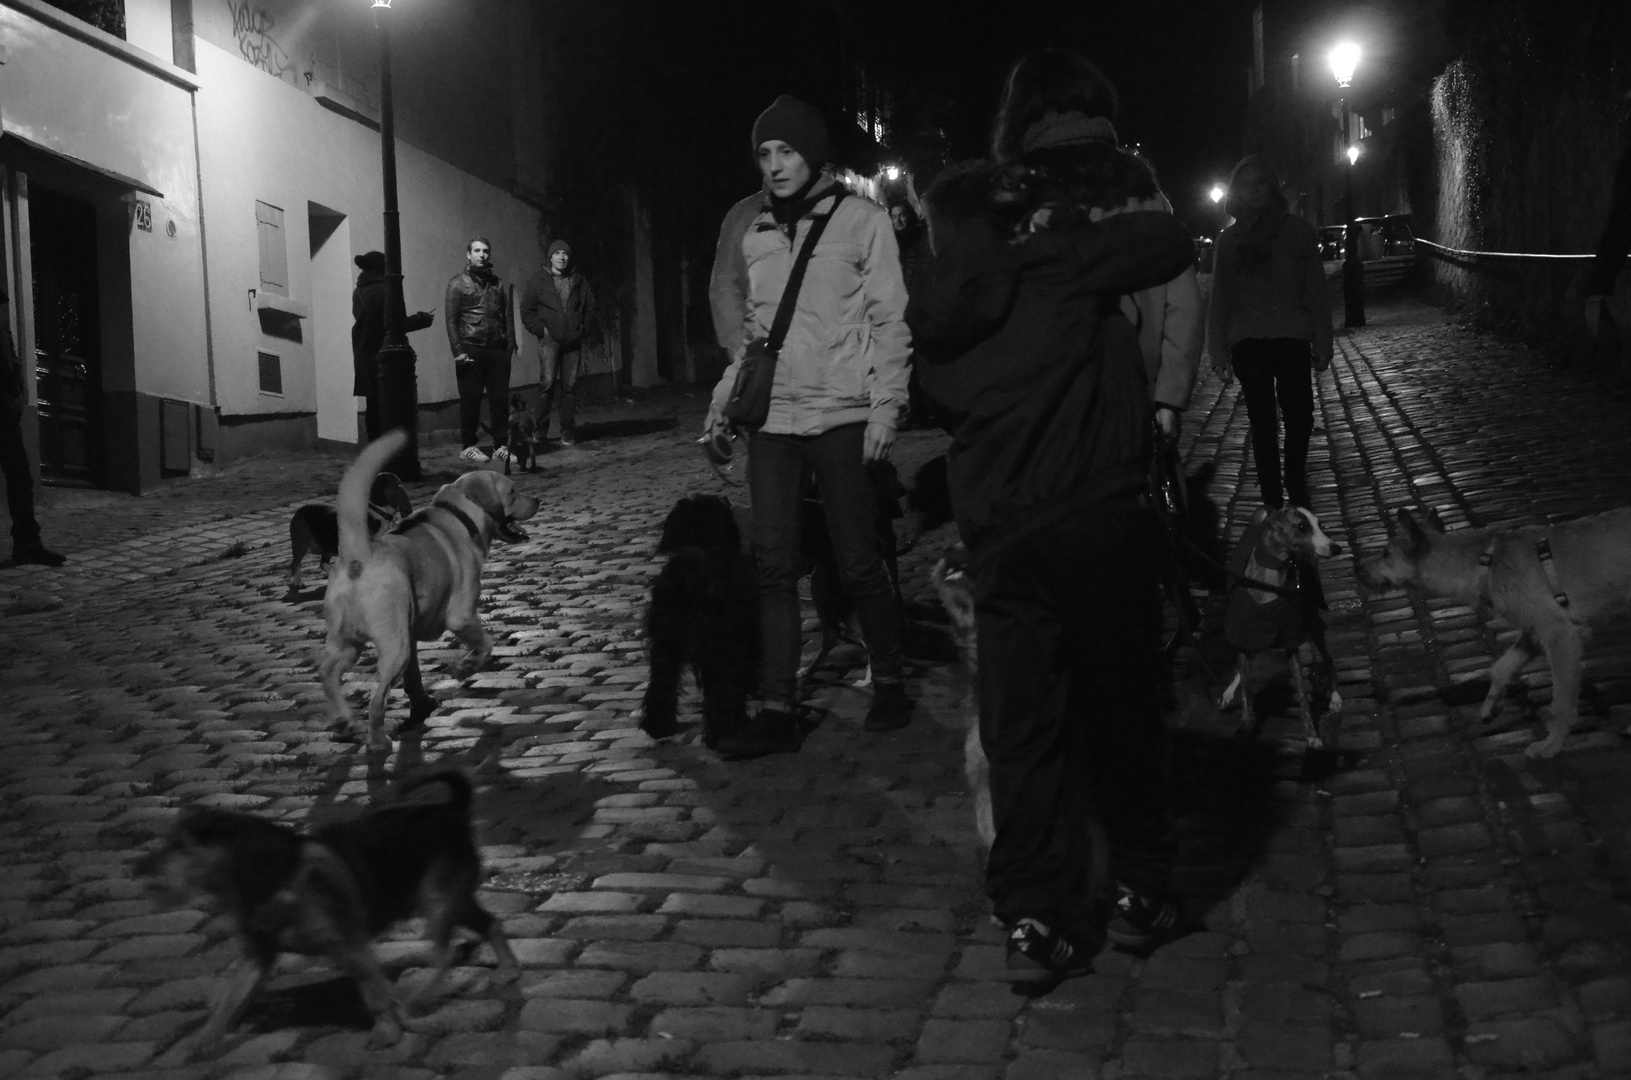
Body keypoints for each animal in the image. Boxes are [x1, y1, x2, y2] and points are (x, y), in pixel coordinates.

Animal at [145, 773, 518, 1063]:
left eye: (180, 847)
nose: (141, 871)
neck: (264, 878)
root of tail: (453, 809)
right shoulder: (258, 954)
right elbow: (231, 999)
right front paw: (203, 1039)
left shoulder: (348, 947)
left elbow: (374, 994)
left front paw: (386, 1031)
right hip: (452, 899)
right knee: (490, 923)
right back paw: (508, 969)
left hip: (435, 902)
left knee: (442, 957)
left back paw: (418, 998)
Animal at [319, 427, 541, 750]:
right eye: (512, 491)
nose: (537, 500)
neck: (458, 515)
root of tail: (360, 556)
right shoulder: (461, 617)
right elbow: (486, 644)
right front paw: (465, 668)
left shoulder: (411, 634)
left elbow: (415, 678)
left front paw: (422, 704)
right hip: (393, 648)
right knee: (376, 700)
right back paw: (377, 740)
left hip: (349, 644)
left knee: (327, 673)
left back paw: (343, 721)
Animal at [639, 495, 760, 750]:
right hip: (718, 645)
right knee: (722, 692)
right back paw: (726, 731)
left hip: (665, 646)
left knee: (661, 686)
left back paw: (658, 726)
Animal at [1219, 505, 1343, 743]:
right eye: (1302, 527)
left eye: (1320, 524)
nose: (1337, 548)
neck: (1268, 585)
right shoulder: (1243, 636)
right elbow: (1247, 694)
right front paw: (1245, 727)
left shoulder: (1291, 642)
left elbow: (1303, 696)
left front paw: (1312, 737)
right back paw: (1229, 691)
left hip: (1313, 624)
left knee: (1328, 658)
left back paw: (1335, 697)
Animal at [1356, 509, 1631, 760]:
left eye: (1385, 553)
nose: (1357, 566)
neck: (1485, 563)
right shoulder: (1533, 633)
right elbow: (1501, 667)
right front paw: (1491, 705)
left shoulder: (1560, 636)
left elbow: (1561, 705)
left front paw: (1551, 745)